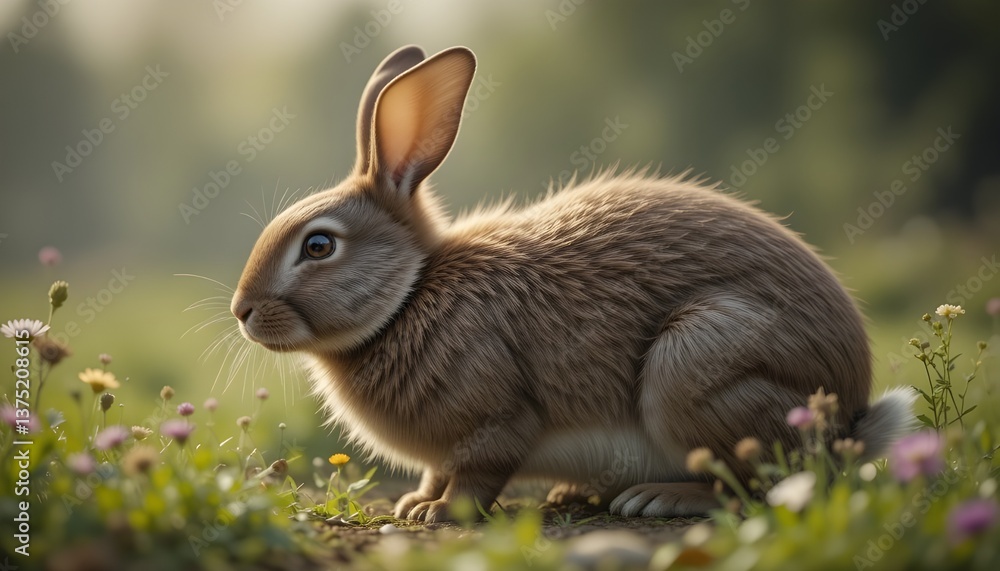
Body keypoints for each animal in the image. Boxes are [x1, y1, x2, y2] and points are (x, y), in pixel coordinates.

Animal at [230, 45, 915, 522]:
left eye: (319, 246)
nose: (242, 312)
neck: (410, 293)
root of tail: (847, 421)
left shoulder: (498, 417)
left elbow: (478, 473)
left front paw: (438, 514)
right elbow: (435, 473)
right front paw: (413, 503)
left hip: (697, 364)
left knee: (764, 485)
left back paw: (657, 498)